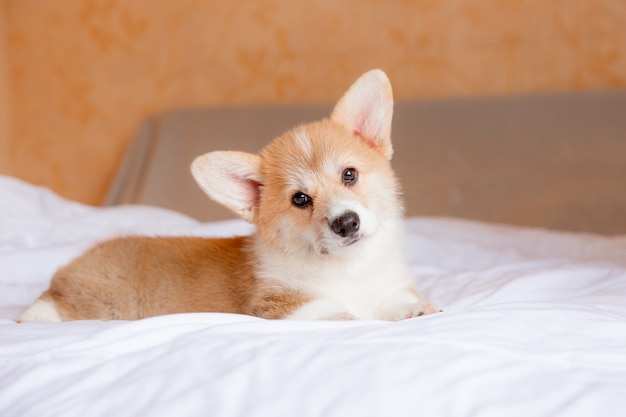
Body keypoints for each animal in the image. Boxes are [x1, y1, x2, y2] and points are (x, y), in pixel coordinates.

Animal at [17, 69, 436, 322]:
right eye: (300, 199)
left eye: (350, 175)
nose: (346, 223)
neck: (351, 268)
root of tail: (61, 276)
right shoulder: (281, 304)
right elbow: (332, 312)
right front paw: (354, 318)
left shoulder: (389, 284)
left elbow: (395, 302)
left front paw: (416, 310)